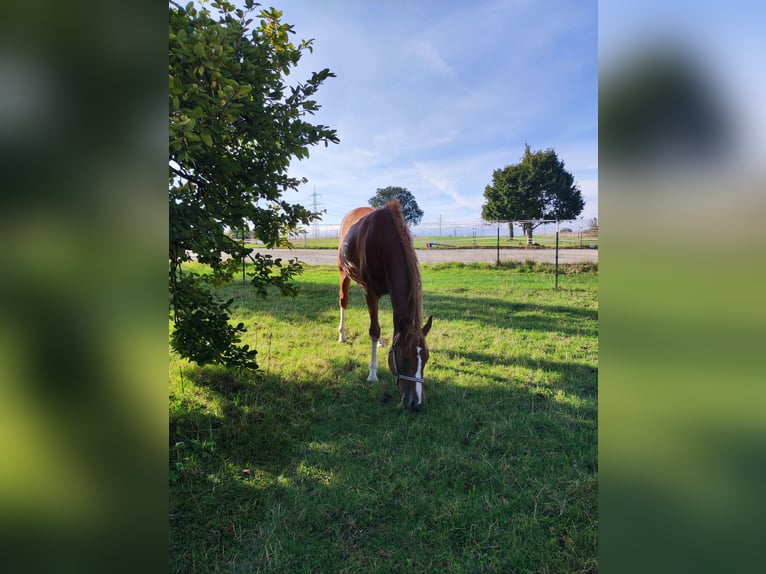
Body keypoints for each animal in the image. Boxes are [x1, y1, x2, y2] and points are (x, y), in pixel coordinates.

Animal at [340, 200, 436, 412]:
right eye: (404, 358)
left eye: (426, 358)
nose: (417, 403)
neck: (383, 239)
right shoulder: (370, 292)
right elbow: (374, 330)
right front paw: (372, 374)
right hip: (343, 272)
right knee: (343, 301)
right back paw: (341, 335)